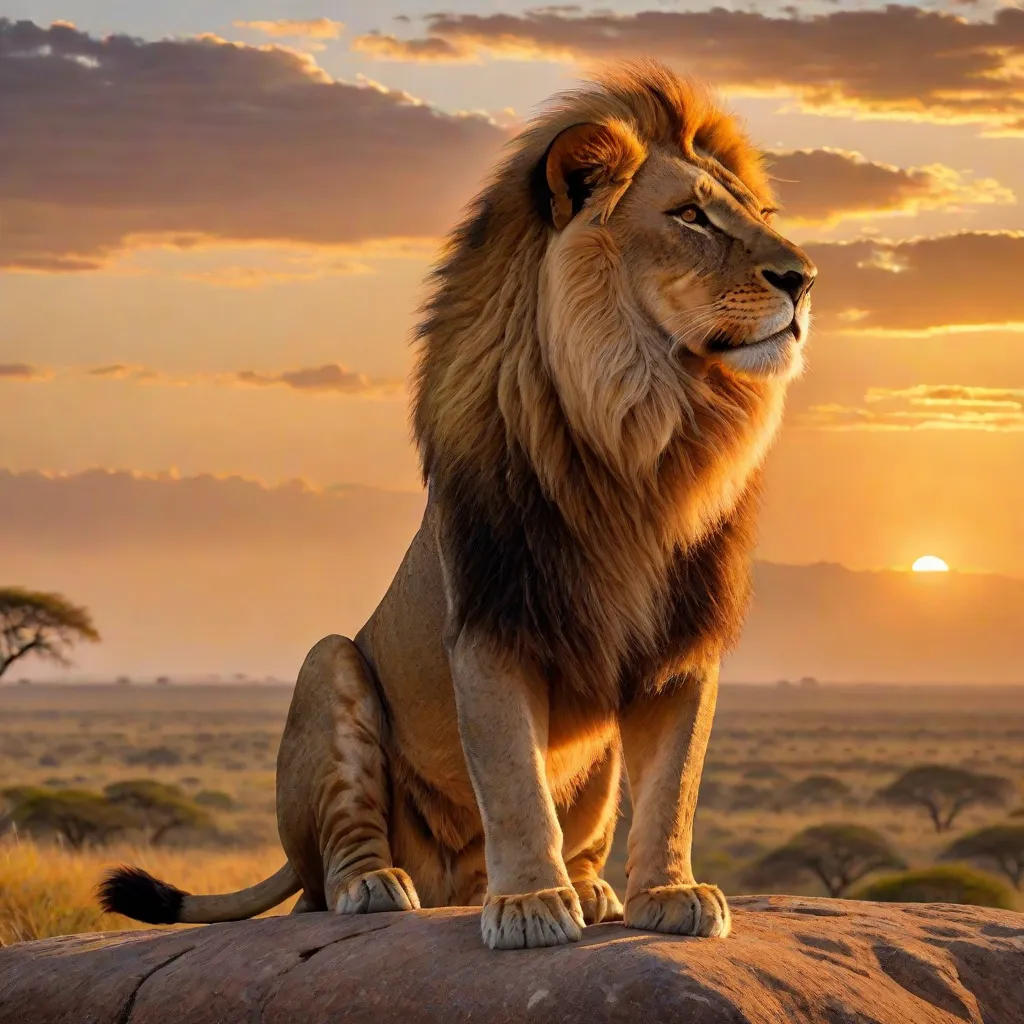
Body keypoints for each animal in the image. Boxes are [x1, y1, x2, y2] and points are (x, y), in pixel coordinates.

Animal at [100, 61, 815, 950]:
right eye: (689, 216)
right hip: (329, 667)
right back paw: (380, 886)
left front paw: (668, 892)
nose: (804, 279)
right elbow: (512, 782)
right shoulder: (491, 620)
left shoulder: (681, 644)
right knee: (326, 873)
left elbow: (673, 785)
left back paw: (590, 890)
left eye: (761, 218)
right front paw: (531, 904)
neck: (644, 433)